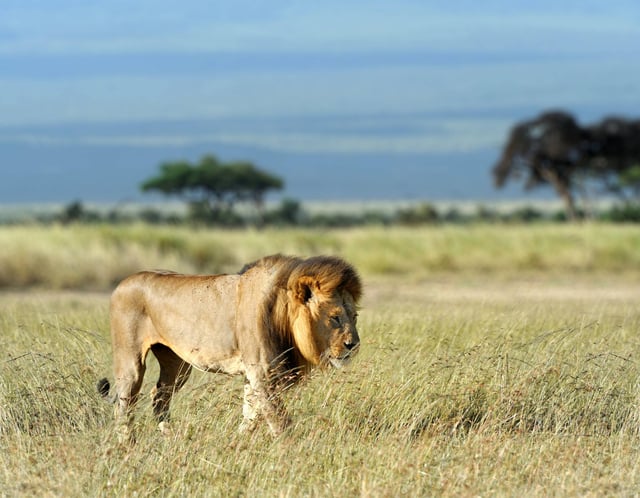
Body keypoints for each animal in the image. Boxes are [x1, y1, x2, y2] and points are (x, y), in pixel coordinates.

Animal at [97, 254, 362, 440]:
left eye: (354, 316)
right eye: (335, 318)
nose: (354, 345)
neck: (283, 317)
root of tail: (122, 283)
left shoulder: (255, 376)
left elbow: (251, 415)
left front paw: (237, 442)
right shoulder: (261, 374)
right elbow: (280, 422)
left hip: (177, 363)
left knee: (159, 395)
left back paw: (170, 436)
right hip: (131, 361)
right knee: (124, 404)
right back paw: (128, 445)